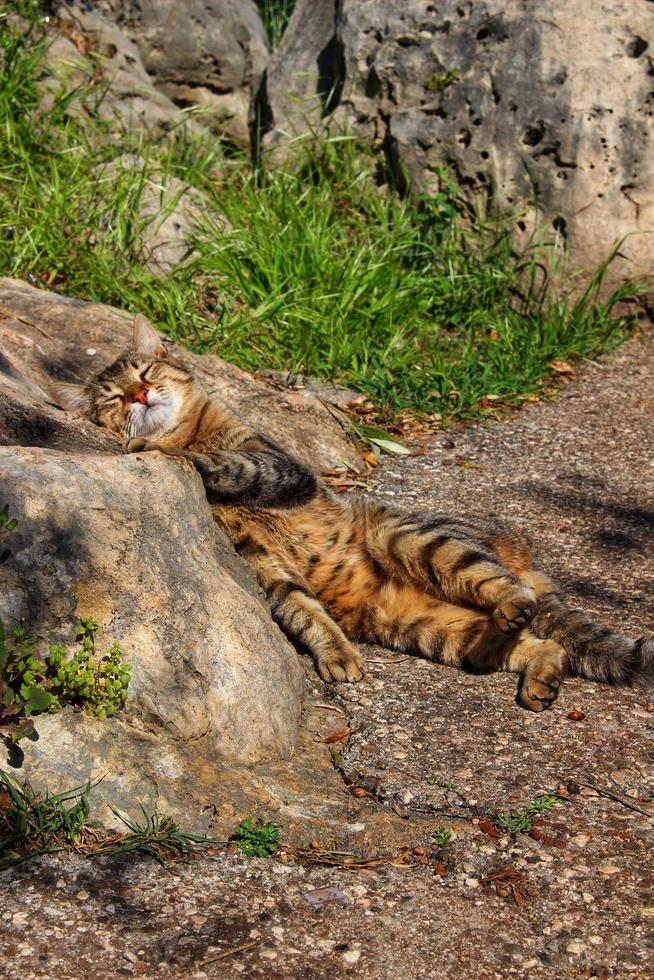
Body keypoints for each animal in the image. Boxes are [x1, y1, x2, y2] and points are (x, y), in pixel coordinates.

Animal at [52, 318, 654, 708]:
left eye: (146, 370)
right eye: (113, 398)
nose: (140, 395)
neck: (189, 429)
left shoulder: (281, 468)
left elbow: (229, 463)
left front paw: (170, 451)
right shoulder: (263, 564)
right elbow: (304, 612)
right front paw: (337, 655)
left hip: (412, 539)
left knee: (507, 588)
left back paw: (516, 604)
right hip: (429, 626)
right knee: (541, 643)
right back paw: (541, 679)